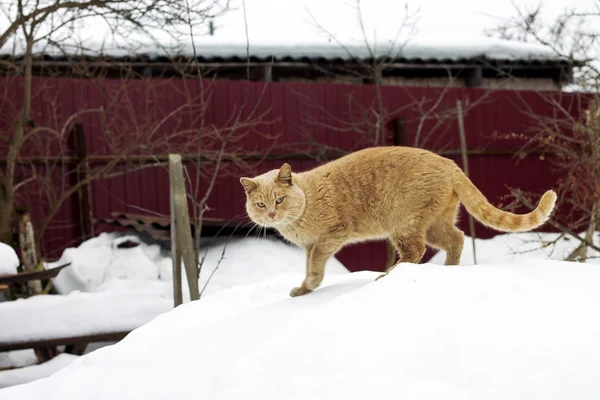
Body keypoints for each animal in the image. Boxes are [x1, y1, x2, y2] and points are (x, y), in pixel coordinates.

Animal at [240, 145, 556, 296]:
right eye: (261, 204)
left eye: (279, 200)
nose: (271, 214)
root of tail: (451, 164)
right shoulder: (309, 246)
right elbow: (309, 268)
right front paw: (305, 289)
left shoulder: (330, 236)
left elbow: (316, 264)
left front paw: (311, 284)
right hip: (433, 224)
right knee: (456, 239)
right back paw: (448, 270)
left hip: (404, 224)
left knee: (415, 253)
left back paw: (387, 275)